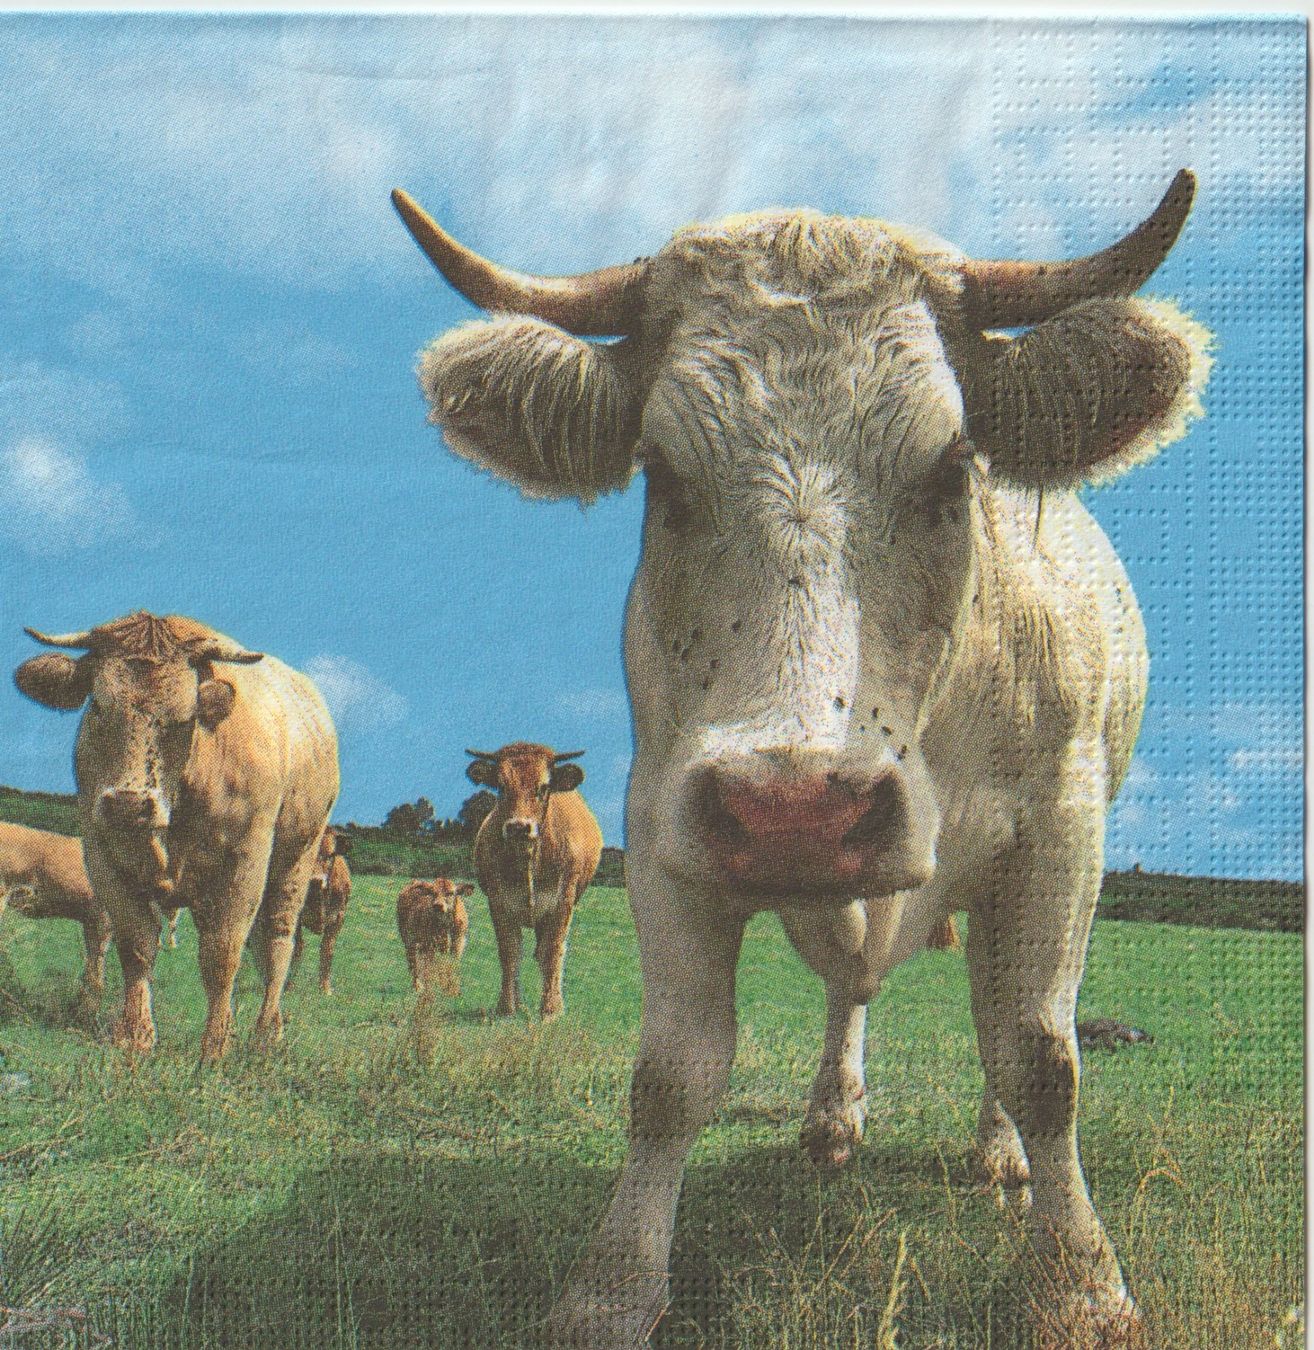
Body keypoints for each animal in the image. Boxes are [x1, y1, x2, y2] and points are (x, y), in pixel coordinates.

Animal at [13, 611, 340, 1063]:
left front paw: (215, 1048)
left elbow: (222, 955)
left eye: (186, 717)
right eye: (97, 704)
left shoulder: (244, 863)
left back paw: (265, 1034)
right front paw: (135, 1036)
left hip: (298, 856)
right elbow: (136, 945)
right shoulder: (102, 855)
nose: (129, 804)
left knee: (278, 942)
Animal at [291, 826, 352, 995]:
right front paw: (288, 985)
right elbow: (298, 947)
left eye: (331, 854)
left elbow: (327, 950)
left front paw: (325, 989)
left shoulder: (338, 918)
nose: (315, 880)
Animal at [465, 744, 602, 1020]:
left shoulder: (562, 902)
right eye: (501, 786)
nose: (519, 827)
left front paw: (551, 1009)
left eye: (543, 787)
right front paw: (507, 1006)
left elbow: (552, 951)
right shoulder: (498, 901)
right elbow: (510, 951)